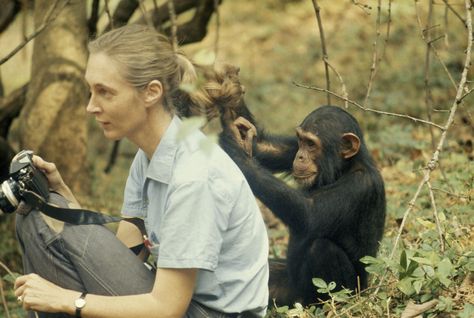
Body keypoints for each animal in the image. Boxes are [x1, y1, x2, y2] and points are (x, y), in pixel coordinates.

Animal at [220, 104, 386, 306]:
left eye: (312, 144)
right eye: (301, 141)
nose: (300, 156)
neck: (343, 169)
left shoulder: (359, 186)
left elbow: (309, 213)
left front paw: (235, 148)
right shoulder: (291, 148)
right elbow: (269, 148)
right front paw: (236, 126)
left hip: (349, 292)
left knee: (321, 248)